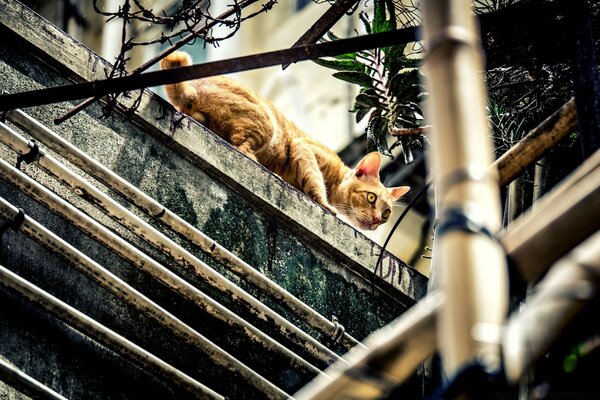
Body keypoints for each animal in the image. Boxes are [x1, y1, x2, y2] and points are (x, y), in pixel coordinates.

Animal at [162, 50, 410, 231]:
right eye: (371, 198)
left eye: (386, 213)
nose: (377, 221)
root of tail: (195, 88)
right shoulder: (303, 147)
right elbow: (315, 181)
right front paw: (325, 203)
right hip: (266, 125)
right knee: (241, 147)